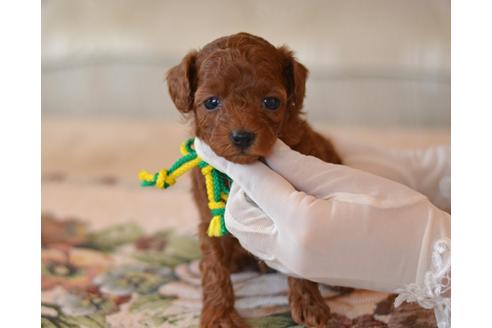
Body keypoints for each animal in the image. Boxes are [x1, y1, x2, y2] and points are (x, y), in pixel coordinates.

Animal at [167, 33, 340, 328]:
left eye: (271, 102)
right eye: (211, 102)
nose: (242, 136)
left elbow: (299, 262)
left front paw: (309, 303)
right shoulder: (209, 220)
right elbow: (213, 267)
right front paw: (220, 314)